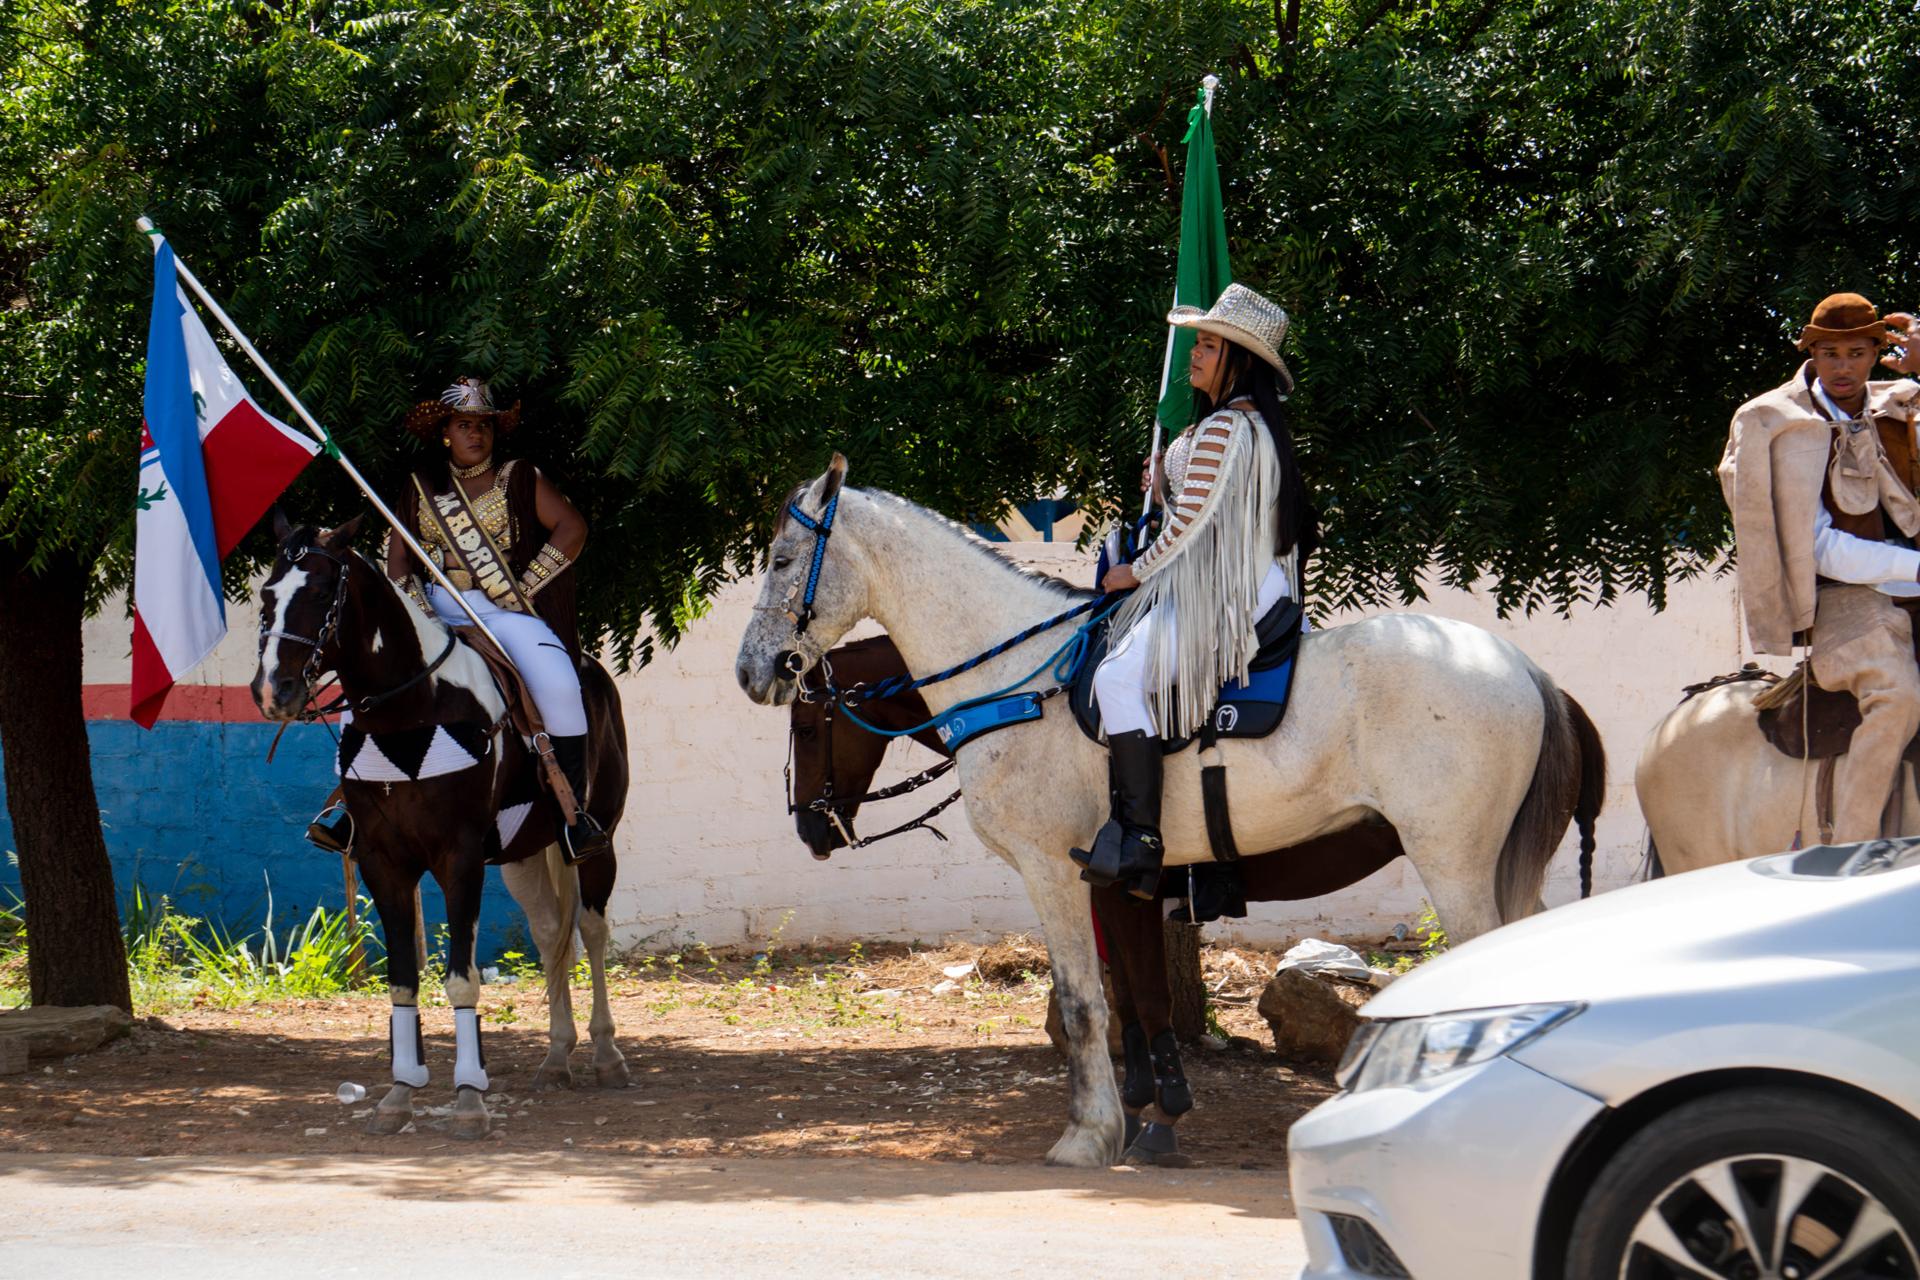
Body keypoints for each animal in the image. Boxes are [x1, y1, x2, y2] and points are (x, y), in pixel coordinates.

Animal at [251, 514, 631, 1139]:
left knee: (592, 930)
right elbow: (403, 978)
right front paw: (400, 1093)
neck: (411, 711)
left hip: (597, 844)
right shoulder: (383, 862)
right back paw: (556, 1056)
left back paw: (604, 1053)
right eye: (266, 596)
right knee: (551, 932)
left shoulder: (460, 859)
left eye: (318, 594)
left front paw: (469, 1098)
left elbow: (461, 978)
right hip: (523, 853)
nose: (272, 692)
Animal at [736, 456, 1606, 1166]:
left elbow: (1088, 1005)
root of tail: (1524, 669)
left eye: (782, 560)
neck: (1026, 680)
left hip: (1453, 864)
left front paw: (1092, 1135)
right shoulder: (1117, 886)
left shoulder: (1057, 873)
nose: (753, 672)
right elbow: (1132, 1002)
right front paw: (1146, 1119)